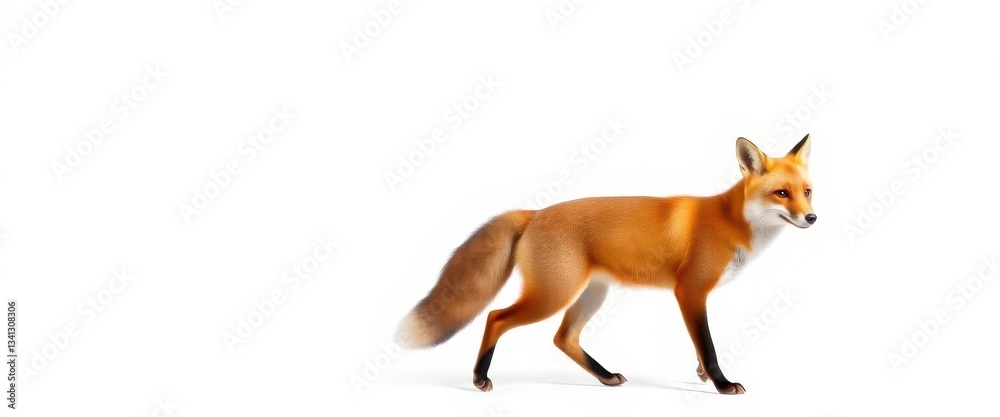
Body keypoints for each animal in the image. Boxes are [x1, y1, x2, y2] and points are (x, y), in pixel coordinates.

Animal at [396, 135, 816, 394]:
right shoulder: (691, 291)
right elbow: (709, 346)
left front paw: (700, 375)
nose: (812, 218)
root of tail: (534, 213)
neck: (731, 221)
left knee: (563, 338)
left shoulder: (693, 297)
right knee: (496, 318)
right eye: (782, 193)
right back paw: (479, 377)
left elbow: (699, 347)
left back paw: (605, 376)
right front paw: (722, 385)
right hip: (552, 295)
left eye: (807, 192)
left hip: (591, 294)